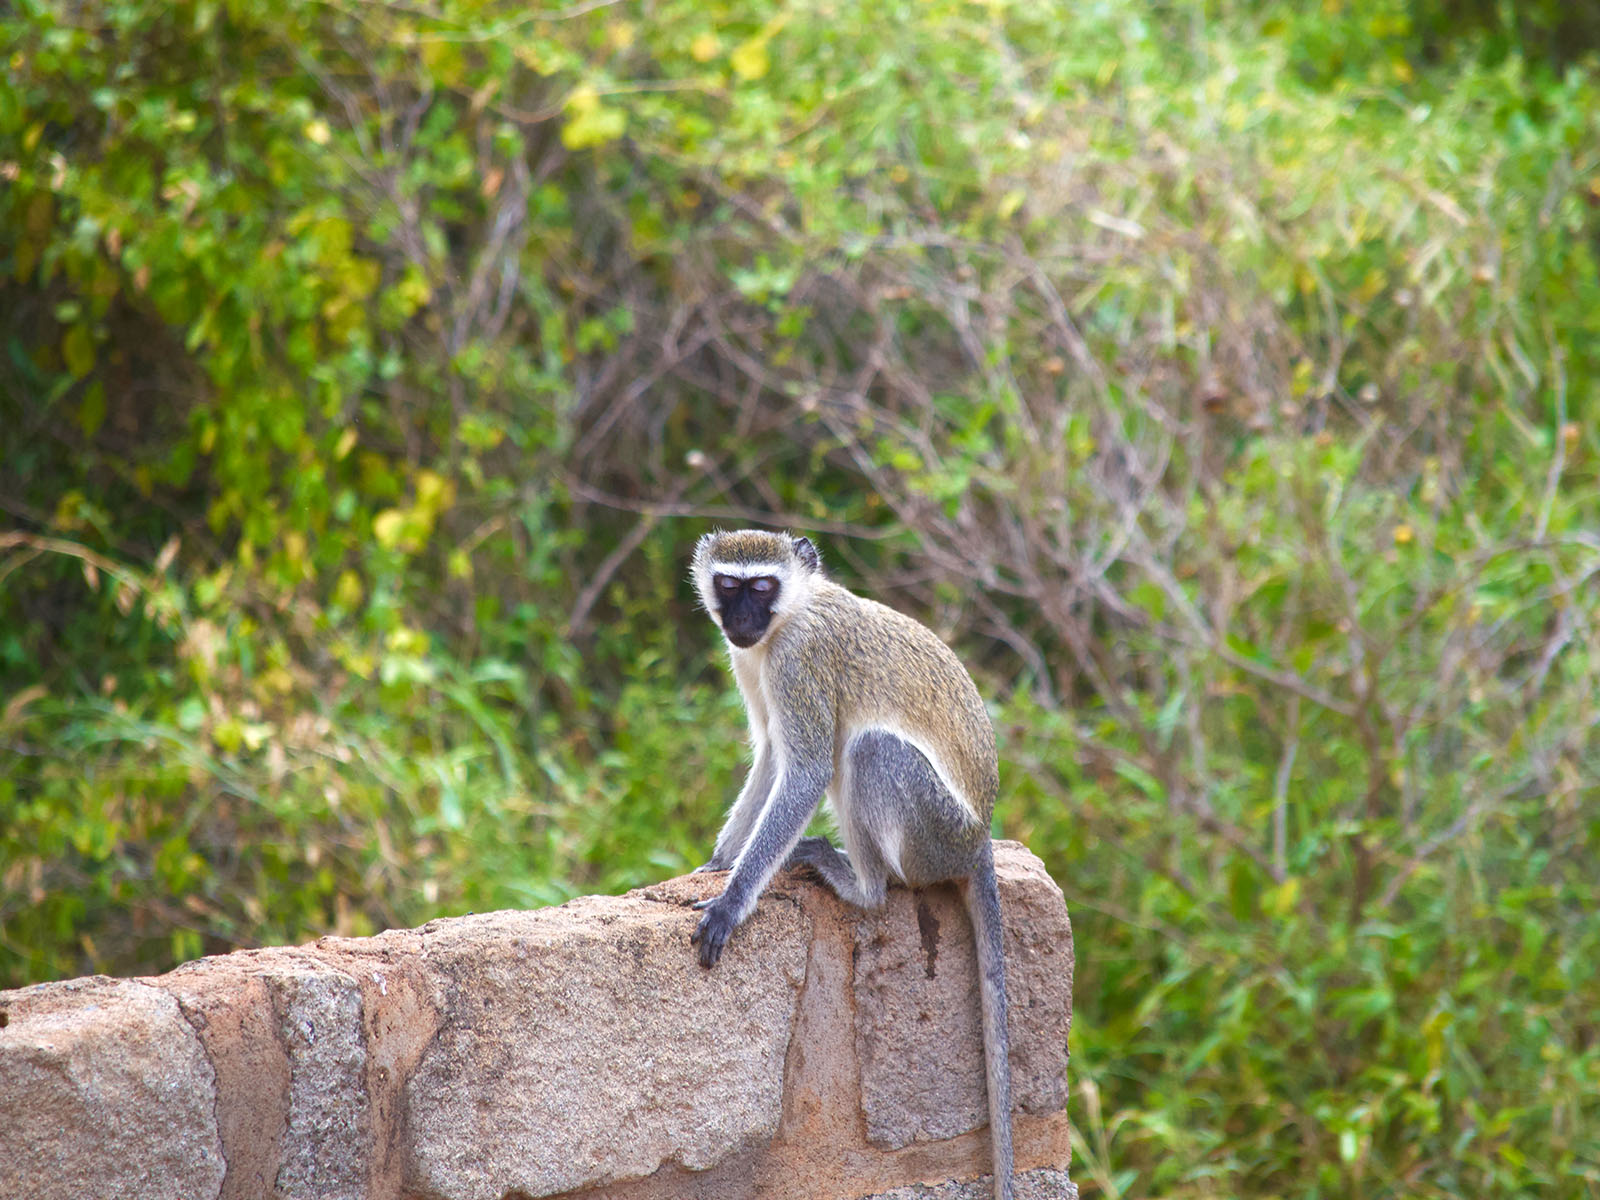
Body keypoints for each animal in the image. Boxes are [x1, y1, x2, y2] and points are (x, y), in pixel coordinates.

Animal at [688, 531, 1011, 1200]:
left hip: (933, 833)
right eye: (729, 585)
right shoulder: (752, 662)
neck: (790, 617)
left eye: (763, 586)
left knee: (867, 750)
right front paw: (718, 863)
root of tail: (979, 839)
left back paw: (862, 887)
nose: (741, 620)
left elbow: (805, 769)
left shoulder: (798, 664)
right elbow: (772, 755)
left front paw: (732, 902)